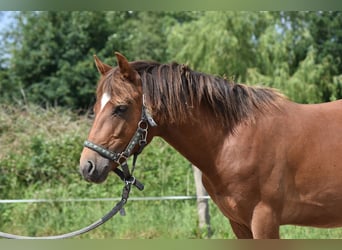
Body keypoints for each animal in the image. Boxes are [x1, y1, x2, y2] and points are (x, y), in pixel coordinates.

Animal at [80, 52, 342, 238]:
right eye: (95, 107)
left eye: (121, 108)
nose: (87, 166)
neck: (231, 141)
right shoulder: (239, 223)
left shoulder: (265, 220)